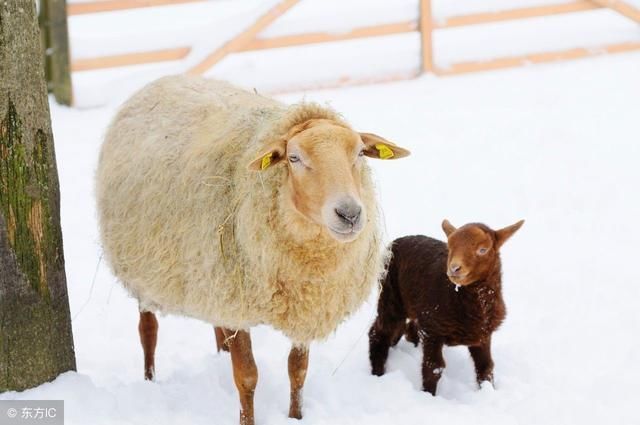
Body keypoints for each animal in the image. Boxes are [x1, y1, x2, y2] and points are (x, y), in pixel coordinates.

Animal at [97, 74, 412, 422]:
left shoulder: (306, 303)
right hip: (144, 269)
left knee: (217, 327)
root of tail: (165, 78)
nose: (350, 214)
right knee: (148, 331)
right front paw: (248, 420)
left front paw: (296, 416)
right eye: (294, 158)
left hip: (211, 274)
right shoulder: (241, 299)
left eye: (359, 153)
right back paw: (150, 380)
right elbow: (247, 377)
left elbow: (298, 370)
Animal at [368, 219, 524, 394]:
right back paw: (378, 374)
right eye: (450, 247)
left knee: (406, 329)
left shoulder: (483, 335)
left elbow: (485, 366)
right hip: (390, 296)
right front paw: (428, 395)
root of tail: (395, 242)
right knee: (379, 333)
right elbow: (433, 367)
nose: (454, 269)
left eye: (483, 249)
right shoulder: (432, 330)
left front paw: (488, 390)